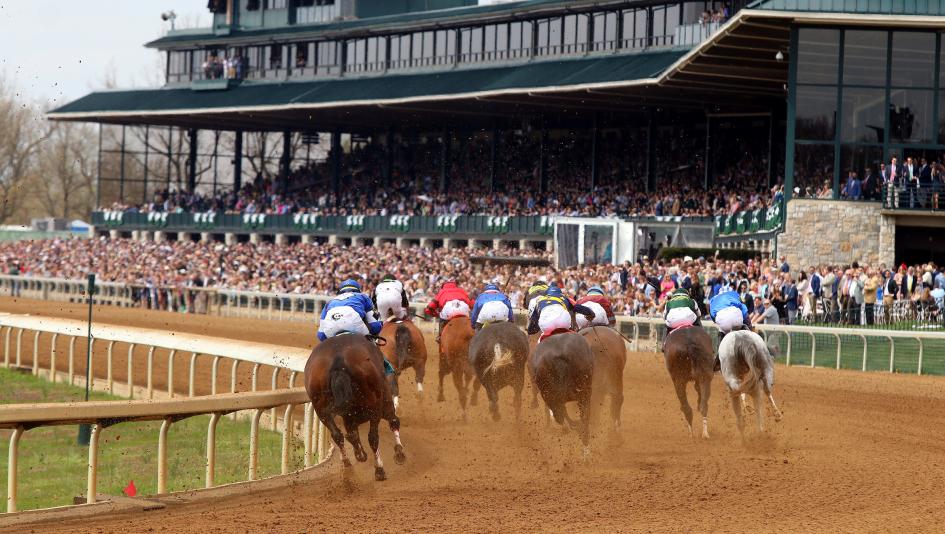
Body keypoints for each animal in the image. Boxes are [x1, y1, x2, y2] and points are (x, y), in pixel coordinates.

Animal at [304, 336, 404, 482]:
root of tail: (338, 361)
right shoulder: (385, 404)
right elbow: (394, 421)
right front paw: (399, 452)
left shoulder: (348, 416)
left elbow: (352, 434)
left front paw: (358, 453)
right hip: (375, 405)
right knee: (373, 437)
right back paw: (379, 469)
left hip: (321, 408)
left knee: (338, 435)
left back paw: (349, 461)